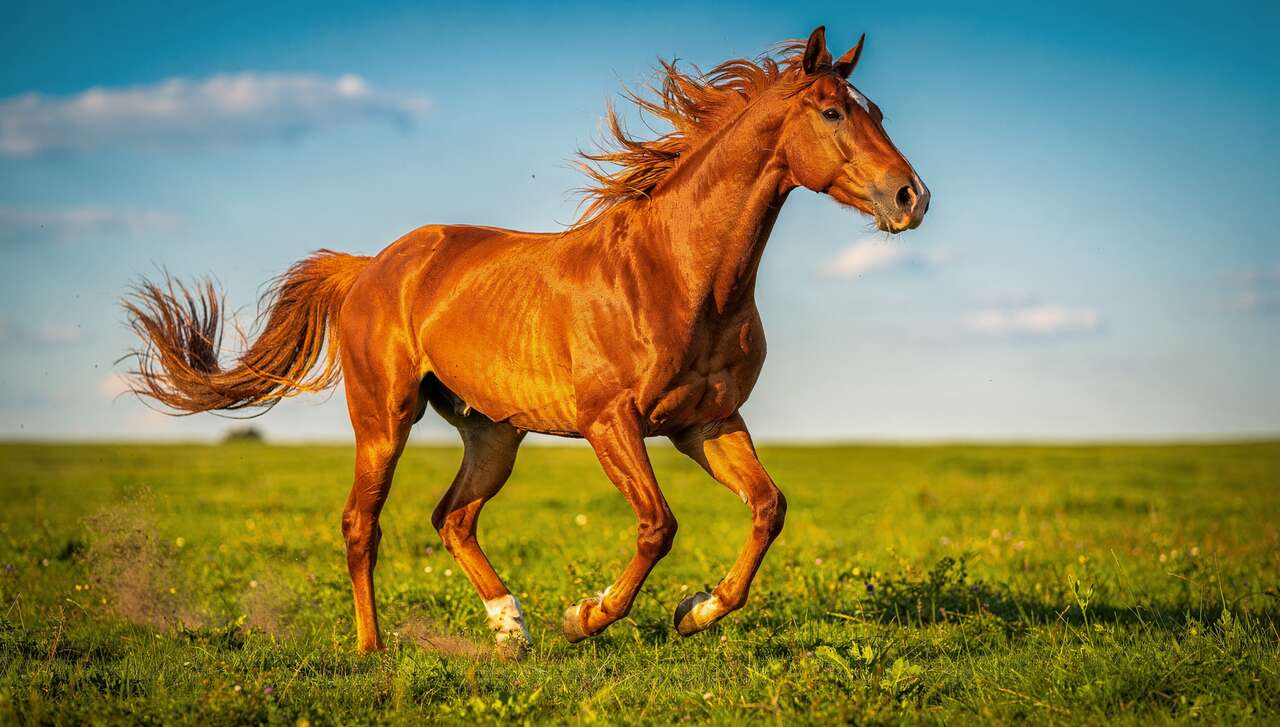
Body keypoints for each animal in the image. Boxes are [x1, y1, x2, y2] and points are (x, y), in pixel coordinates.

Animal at [122, 26, 929, 657]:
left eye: (878, 111)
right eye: (832, 111)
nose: (910, 197)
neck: (677, 273)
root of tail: (370, 267)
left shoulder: (707, 421)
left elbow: (768, 508)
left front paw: (694, 610)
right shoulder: (611, 423)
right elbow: (657, 525)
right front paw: (586, 615)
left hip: (494, 434)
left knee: (452, 517)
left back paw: (510, 629)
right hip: (384, 418)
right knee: (362, 524)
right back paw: (374, 647)